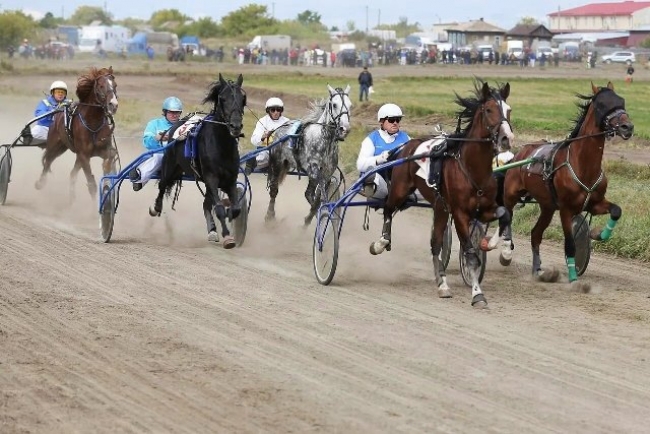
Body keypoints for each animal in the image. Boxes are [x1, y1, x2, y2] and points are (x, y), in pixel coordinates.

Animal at [35, 65, 119, 201]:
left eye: (115, 85)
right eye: (101, 86)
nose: (113, 105)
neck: (93, 123)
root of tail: (57, 113)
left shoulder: (103, 150)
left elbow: (110, 157)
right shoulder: (84, 155)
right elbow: (91, 184)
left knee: (72, 173)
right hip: (55, 146)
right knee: (47, 162)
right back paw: (40, 183)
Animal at [149, 71, 246, 248]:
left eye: (243, 98)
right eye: (222, 98)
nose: (235, 126)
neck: (221, 145)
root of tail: (174, 126)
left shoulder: (230, 179)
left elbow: (235, 209)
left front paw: (229, 218)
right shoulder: (211, 177)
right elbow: (219, 208)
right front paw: (227, 236)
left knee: (206, 203)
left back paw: (212, 230)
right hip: (170, 166)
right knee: (162, 184)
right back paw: (156, 208)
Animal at [264, 85, 352, 227]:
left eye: (350, 105)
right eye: (334, 104)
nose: (345, 129)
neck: (324, 141)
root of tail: (277, 129)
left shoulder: (327, 173)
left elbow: (317, 199)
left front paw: (311, 219)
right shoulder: (314, 171)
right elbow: (318, 198)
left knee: (308, 194)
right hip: (278, 163)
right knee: (274, 189)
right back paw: (269, 216)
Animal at [368, 79, 512, 308]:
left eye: (509, 110)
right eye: (489, 109)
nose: (507, 138)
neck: (471, 168)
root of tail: (406, 146)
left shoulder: (483, 208)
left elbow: (504, 214)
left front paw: (494, 246)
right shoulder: (460, 214)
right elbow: (471, 255)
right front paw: (477, 294)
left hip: (440, 207)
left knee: (435, 244)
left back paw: (442, 284)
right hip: (400, 190)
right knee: (388, 209)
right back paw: (380, 243)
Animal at [498, 81, 632, 292]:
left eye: (621, 101)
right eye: (602, 105)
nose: (628, 127)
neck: (583, 165)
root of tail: (520, 153)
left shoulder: (595, 203)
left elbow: (616, 211)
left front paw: (598, 234)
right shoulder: (566, 210)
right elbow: (570, 244)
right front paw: (574, 278)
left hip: (547, 207)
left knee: (535, 234)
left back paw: (538, 270)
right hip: (511, 195)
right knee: (507, 219)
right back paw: (506, 254)